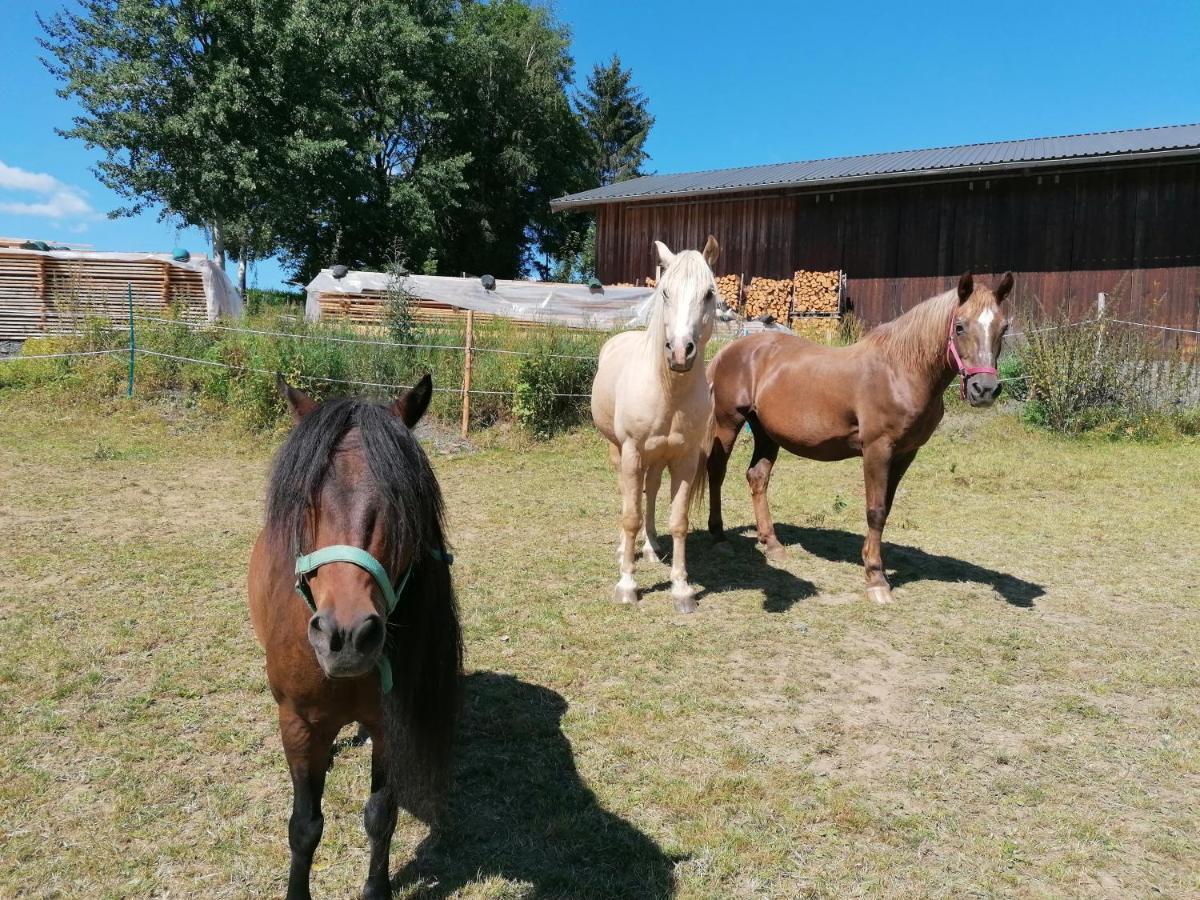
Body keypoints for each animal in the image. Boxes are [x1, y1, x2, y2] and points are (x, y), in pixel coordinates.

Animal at [246, 374, 460, 900]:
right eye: (304, 499)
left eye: (402, 502)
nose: (345, 636)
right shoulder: (298, 724)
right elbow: (305, 826)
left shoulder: (390, 726)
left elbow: (381, 815)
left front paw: (376, 888)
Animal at [592, 234, 720, 614]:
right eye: (665, 292)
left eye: (709, 293)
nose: (680, 352)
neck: (668, 391)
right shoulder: (633, 452)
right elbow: (630, 515)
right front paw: (627, 585)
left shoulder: (685, 460)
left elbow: (678, 521)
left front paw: (681, 589)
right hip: (621, 452)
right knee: (628, 496)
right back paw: (626, 549)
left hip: (657, 458)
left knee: (650, 492)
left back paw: (650, 548)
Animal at [705, 271, 1008, 602]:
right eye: (960, 326)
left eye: (1004, 327)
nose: (985, 389)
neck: (900, 370)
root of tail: (731, 349)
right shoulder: (877, 449)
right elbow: (875, 510)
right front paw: (876, 579)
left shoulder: (905, 453)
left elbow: (886, 509)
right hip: (728, 421)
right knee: (716, 472)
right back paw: (719, 537)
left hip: (766, 432)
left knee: (757, 477)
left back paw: (772, 544)